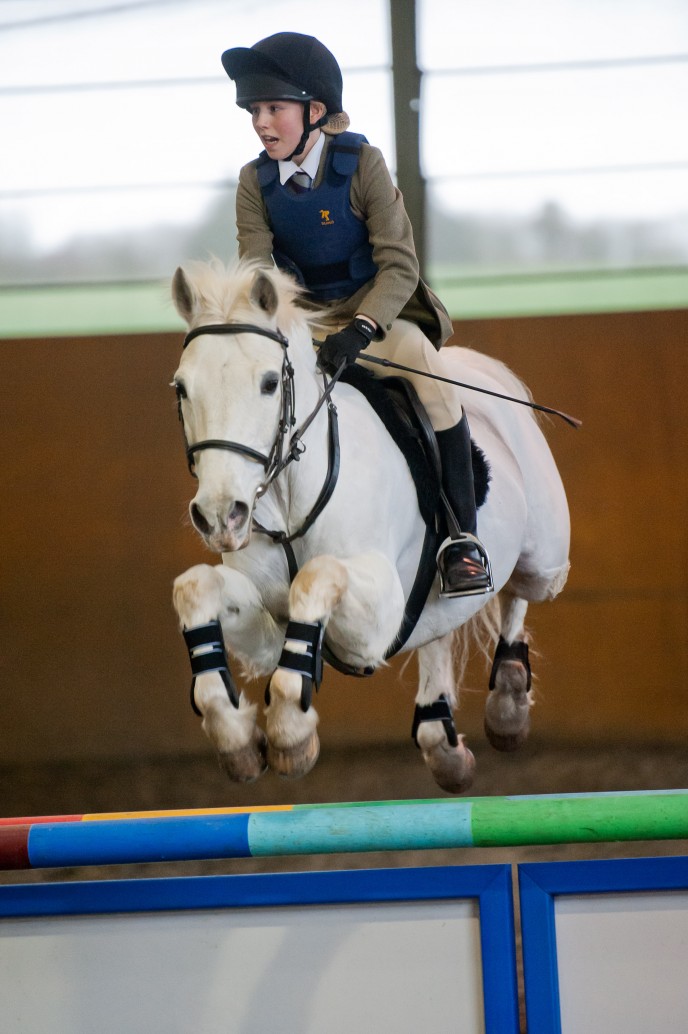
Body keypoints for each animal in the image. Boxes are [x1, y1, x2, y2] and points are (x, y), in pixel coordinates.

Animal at [168, 260, 566, 789]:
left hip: (545, 556)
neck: (291, 490)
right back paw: (443, 740)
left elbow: (316, 577)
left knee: (520, 589)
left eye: (270, 383)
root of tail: (478, 371)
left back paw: (508, 700)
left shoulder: (375, 618)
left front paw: (291, 733)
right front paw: (236, 739)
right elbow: (195, 589)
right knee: (441, 630)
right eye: (181, 388)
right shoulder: (268, 626)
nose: (219, 515)